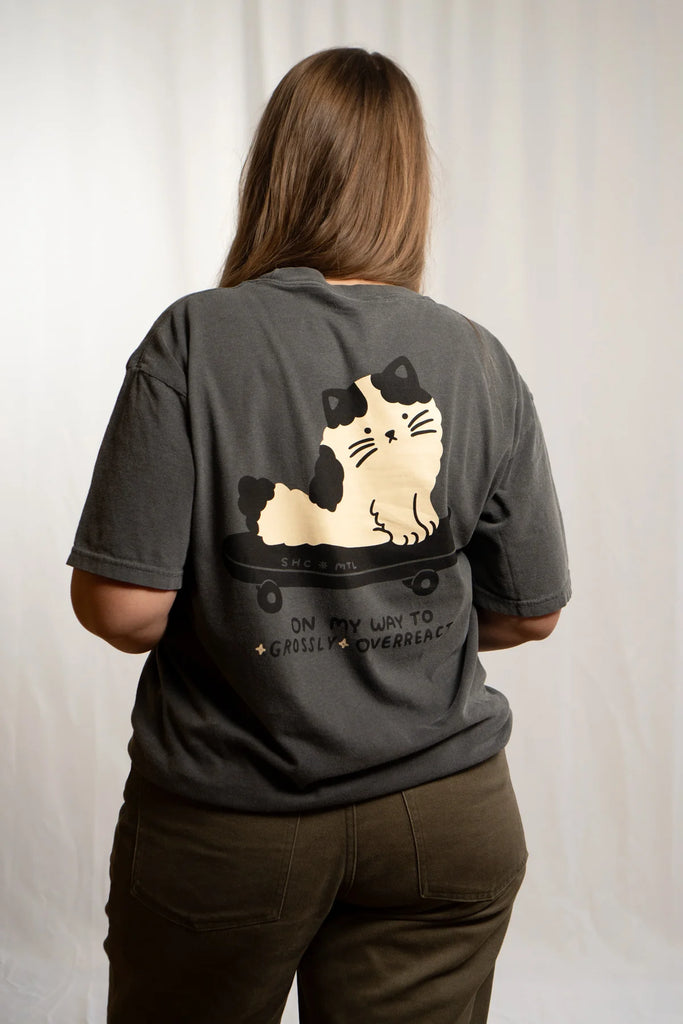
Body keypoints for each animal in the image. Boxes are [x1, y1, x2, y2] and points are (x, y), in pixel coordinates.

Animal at [238, 356, 443, 548]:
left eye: (404, 416)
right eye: (367, 430)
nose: (390, 433)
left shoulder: (418, 488)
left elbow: (420, 504)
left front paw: (428, 521)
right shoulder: (386, 495)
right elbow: (397, 514)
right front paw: (408, 532)